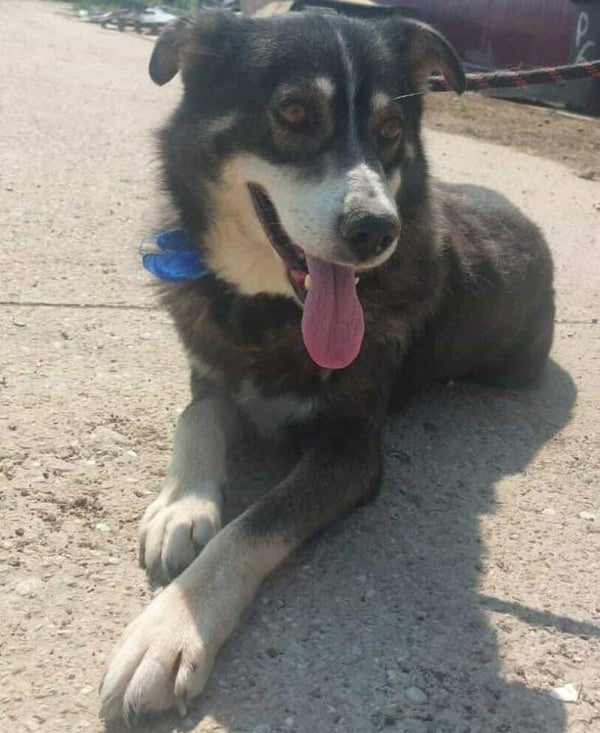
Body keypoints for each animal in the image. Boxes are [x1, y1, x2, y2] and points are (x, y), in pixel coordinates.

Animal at [99, 9, 554, 723]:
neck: (270, 309)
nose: (376, 232)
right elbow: (194, 417)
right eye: (293, 112)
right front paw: (181, 506)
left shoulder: (350, 450)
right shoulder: (212, 369)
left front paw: (171, 630)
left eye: (390, 130)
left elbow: (257, 524)